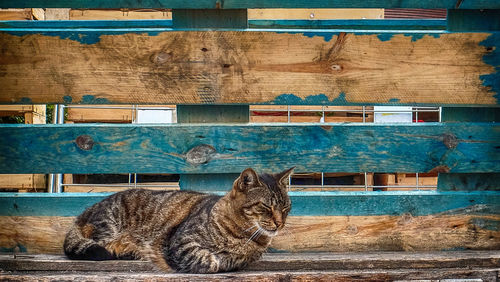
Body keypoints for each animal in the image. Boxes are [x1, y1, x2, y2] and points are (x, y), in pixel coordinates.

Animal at [64, 167, 294, 274]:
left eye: (285, 207)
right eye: (266, 207)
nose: (280, 223)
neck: (243, 234)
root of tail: (86, 211)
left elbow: (229, 260)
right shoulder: (181, 241)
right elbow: (208, 261)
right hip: (108, 226)